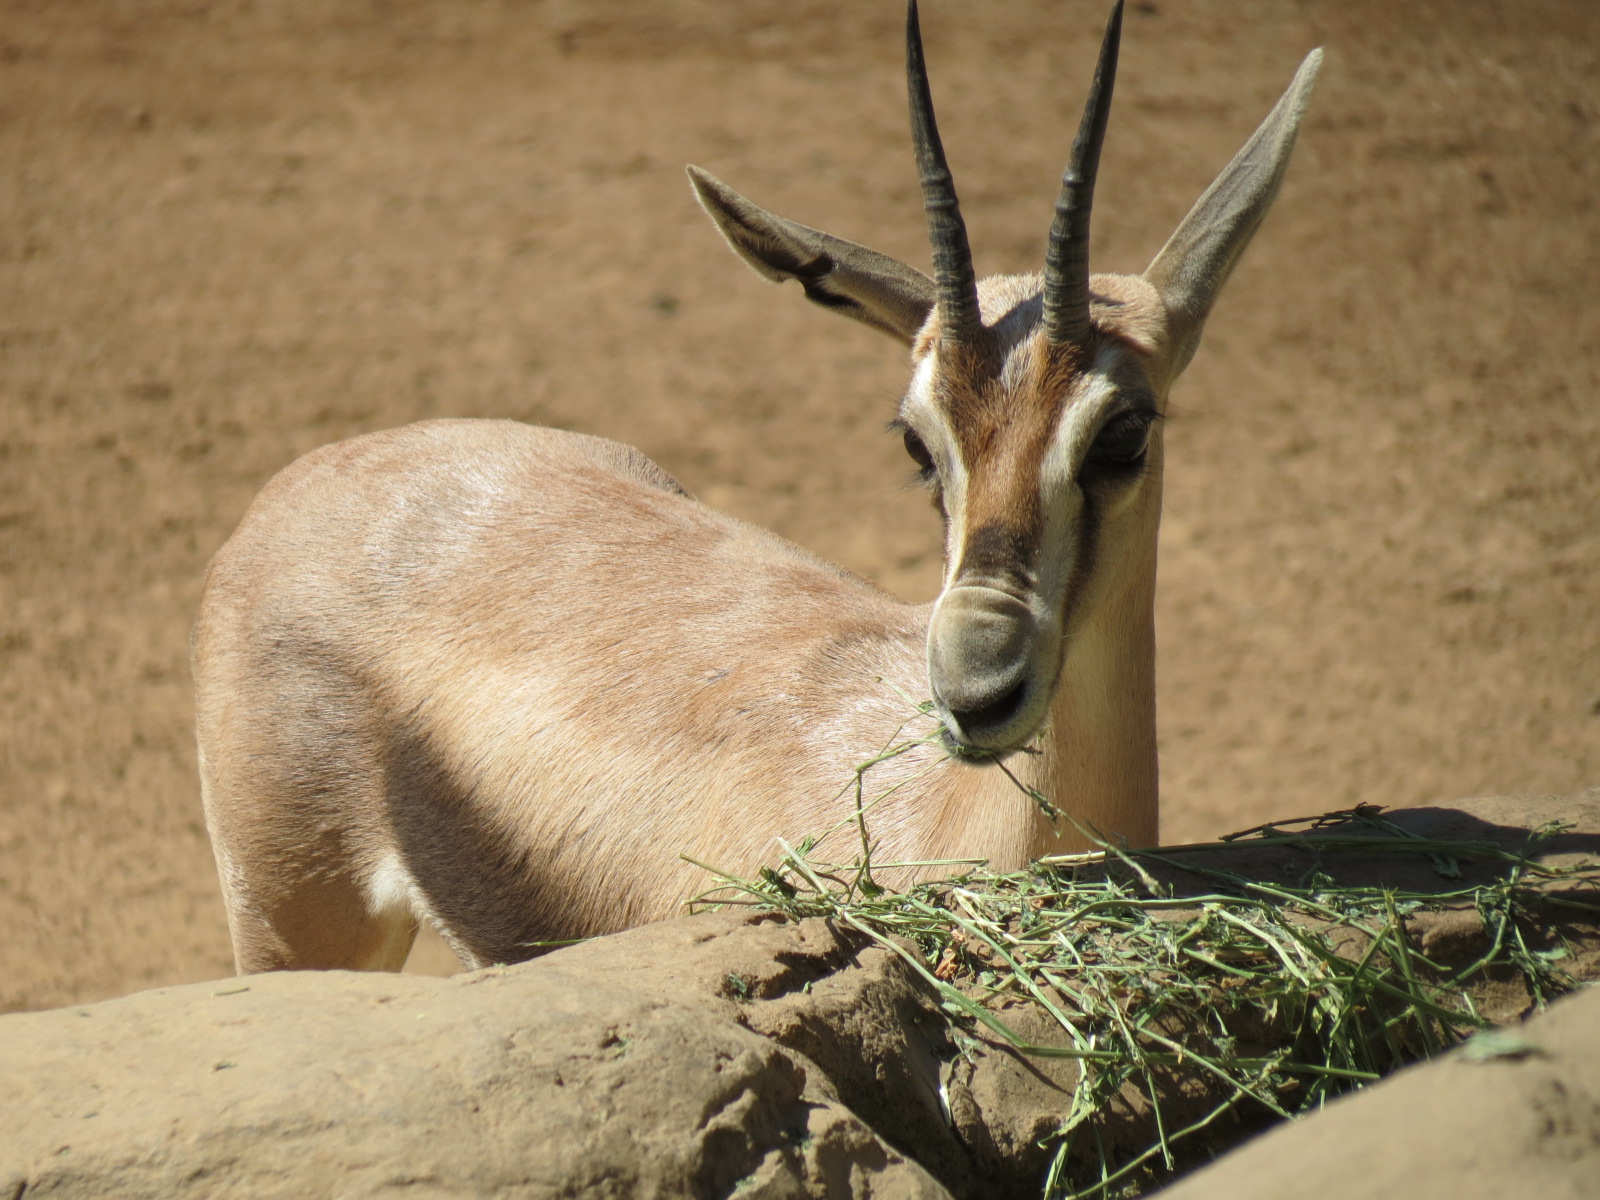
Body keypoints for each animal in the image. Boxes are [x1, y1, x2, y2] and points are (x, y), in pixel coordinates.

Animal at [194, 1, 1322, 974]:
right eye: (916, 442)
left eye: (1124, 432)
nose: (975, 688)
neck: (937, 814)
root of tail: (317, 475)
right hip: (291, 924)